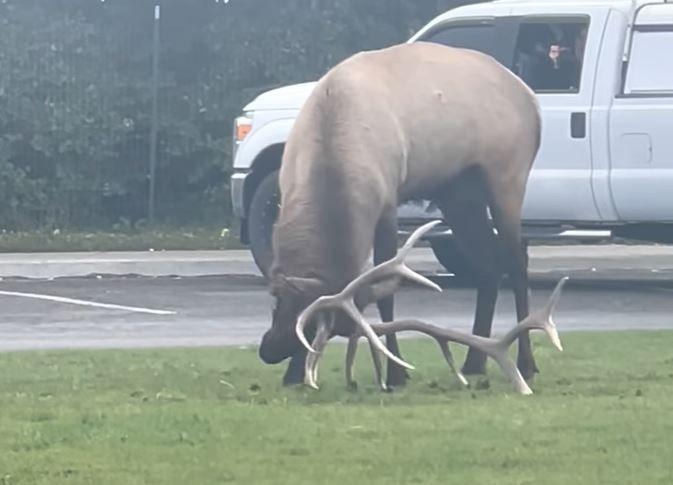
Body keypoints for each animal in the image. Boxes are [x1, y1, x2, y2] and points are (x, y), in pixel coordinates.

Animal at [257, 41, 543, 389]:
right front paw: (294, 374)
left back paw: (526, 363)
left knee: (516, 262)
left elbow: (386, 298)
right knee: (488, 265)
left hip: (508, 177)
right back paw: (474, 361)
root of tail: (531, 99)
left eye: (318, 329)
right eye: (278, 303)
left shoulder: (387, 204)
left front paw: (396, 373)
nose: (269, 351)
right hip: (459, 194)